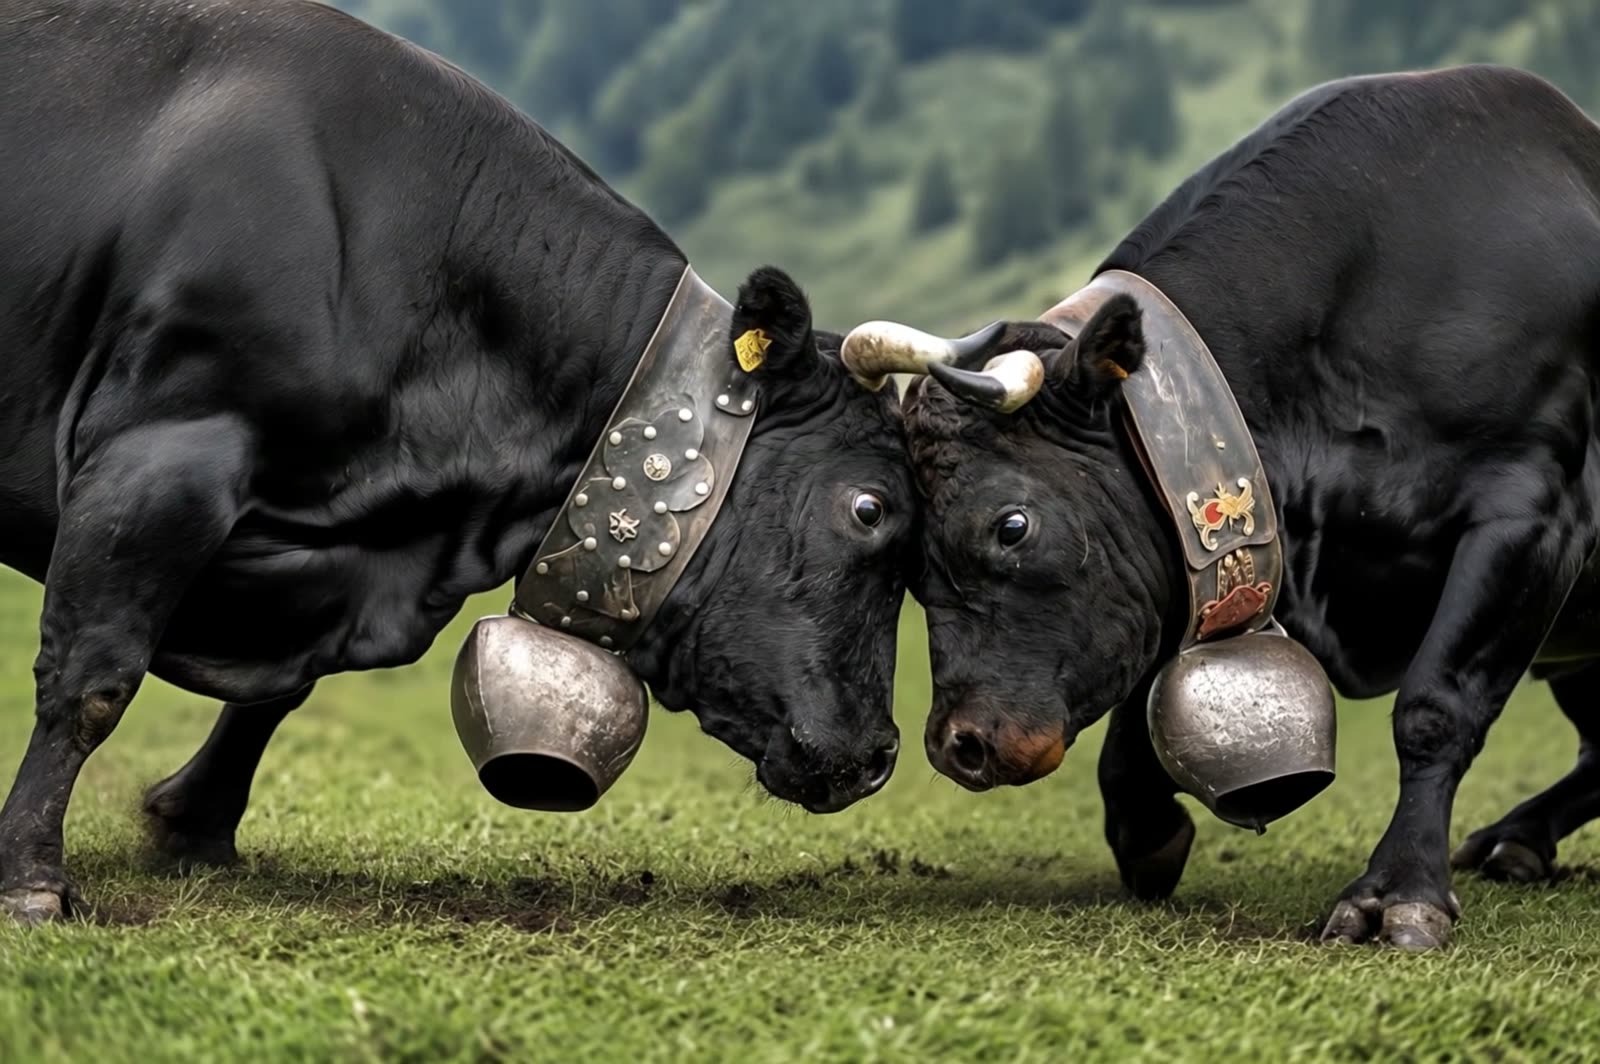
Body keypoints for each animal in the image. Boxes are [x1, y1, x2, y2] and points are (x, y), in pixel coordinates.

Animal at [0, 0, 914, 924]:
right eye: (871, 508)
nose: (880, 753)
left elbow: (277, 694)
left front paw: (194, 826)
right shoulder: (161, 454)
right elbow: (93, 677)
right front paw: (33, 882)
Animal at [874, 66, 1600, 949]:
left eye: (1011, 525)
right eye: (911, 567)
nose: (958, 745)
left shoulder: (1532, 516)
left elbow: (1435, 705)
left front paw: (1396, 892)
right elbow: (1143, 701)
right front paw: (1145, 826)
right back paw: (1517, 841)